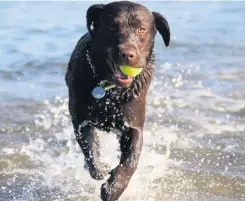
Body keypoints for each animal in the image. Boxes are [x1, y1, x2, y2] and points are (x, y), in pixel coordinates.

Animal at [65, 1, 169, 199]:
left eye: (141, 29)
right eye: (112, 27)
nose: (127, 54)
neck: (110, 92)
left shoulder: (133, 125)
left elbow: (131, 160)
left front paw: (114, 187)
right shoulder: (81, 121)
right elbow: (90, 147)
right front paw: (99, 169)